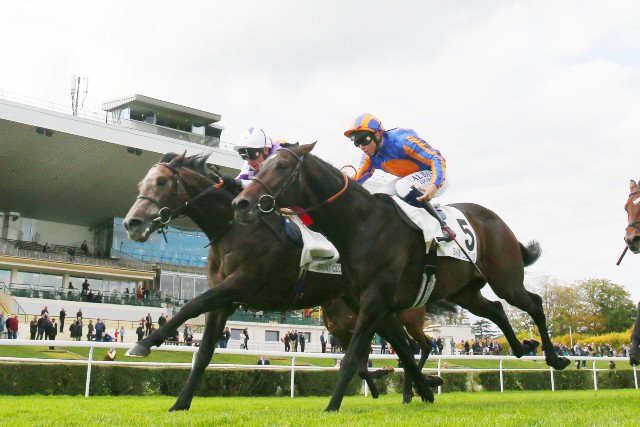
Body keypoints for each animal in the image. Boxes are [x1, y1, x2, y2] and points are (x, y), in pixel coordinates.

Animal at [122, 152, 442, 410]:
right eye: (139, 186)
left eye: (161, 182)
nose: (131, 223)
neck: (235, 230)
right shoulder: (224, 301)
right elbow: (203, 354)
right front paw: (180, 404)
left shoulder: (239, 285)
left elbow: (191, 306)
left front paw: (144, 344)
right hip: (365, 304)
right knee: (402, 345)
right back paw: (421, 387)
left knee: (408, 344)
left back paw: (418, 387)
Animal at [232, 143, 571, 411]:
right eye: (260, 165)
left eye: (282, 166)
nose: (242, 203)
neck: (361, 224)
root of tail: (497, 221)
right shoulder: (374, 305)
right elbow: (401, 353)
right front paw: (424, 388)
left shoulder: (374, 301)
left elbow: (354, 357)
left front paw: (332, 406)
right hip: (465, 292)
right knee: (497, 310)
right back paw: (522, 347)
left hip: (506, 279)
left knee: (533, 303)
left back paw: (555, 358)